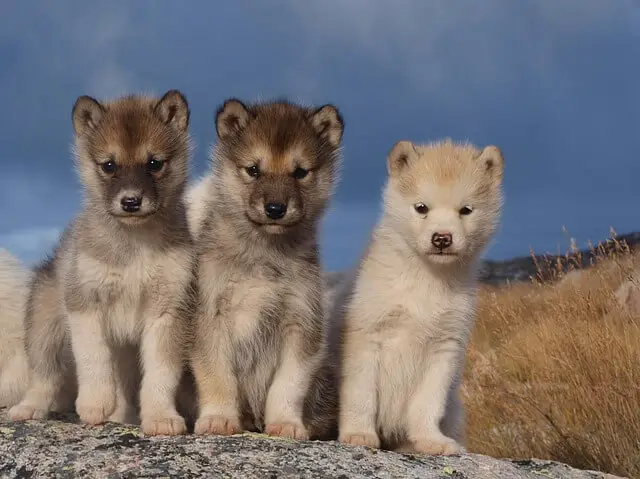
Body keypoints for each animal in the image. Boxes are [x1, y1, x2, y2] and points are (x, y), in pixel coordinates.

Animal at [8, 88, 195, 436]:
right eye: (109, 165)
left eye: (154, 163)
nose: (131, 202)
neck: (134, 245)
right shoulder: (86, 306)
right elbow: (93, 360)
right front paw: (94, 404)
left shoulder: (167, 312)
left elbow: (161, 375)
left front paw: (161, 417)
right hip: (46, 332)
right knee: (44, 377)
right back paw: (28, 409)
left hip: (125, 350)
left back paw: (121, 417)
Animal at [191, 97, 344, 442]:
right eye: (253, 170)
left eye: (300, 172)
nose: (276, 209)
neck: (264, 256)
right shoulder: (210, 316)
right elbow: (217, 377)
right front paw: (219, 418)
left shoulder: (301, 322)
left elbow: (288, 385)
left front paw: (286, 424)